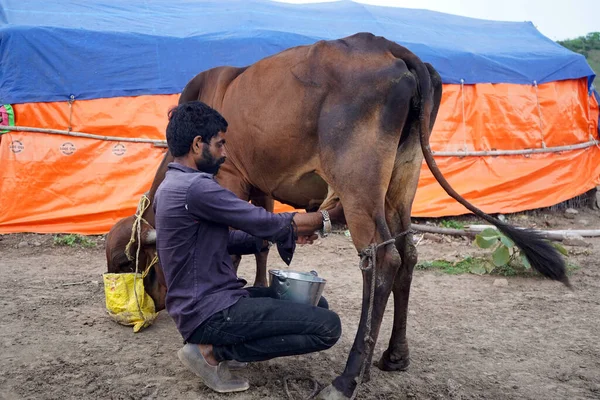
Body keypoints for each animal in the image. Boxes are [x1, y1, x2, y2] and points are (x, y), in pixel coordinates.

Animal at [105, 32, 564, 398]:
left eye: (130, 263)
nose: (147, 307)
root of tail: (392, 49)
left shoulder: (230, 175)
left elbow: (233, 245)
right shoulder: (261, 186)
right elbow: (259, 242)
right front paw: (257, 285)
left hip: (359, 183)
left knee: (382, 259)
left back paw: (347, 379)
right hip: (402, 181)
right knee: (408, 254)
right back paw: (394, 356)